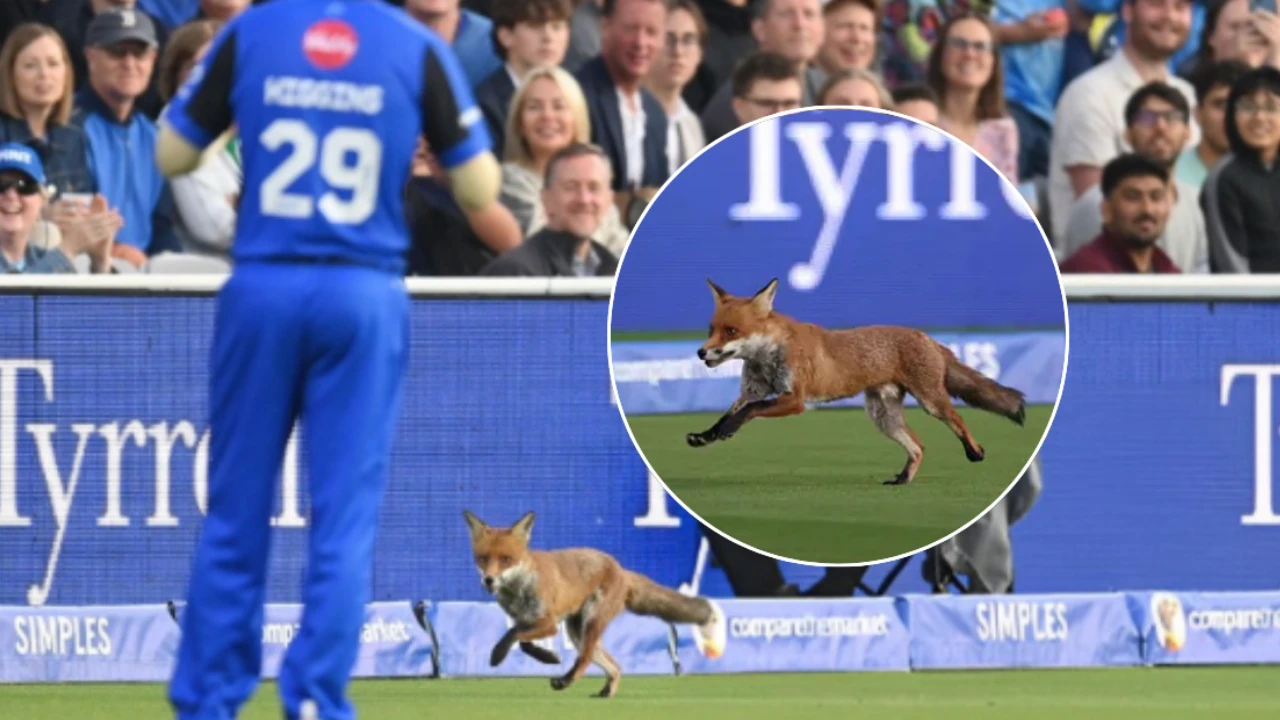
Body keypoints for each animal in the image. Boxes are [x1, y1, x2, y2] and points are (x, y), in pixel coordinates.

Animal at [463, 509, 727, 698]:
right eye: (483, 559)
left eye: (506, 559)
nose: (489, 580)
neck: (519, 590)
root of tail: (621, 569)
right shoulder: (528, 621)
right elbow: (523, 642)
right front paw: (548, 656)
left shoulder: (548, 623)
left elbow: (513, 635)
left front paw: (498, 655)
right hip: (576, 631)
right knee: (614, 666)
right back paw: (607, 691)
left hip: (590, 623)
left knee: (586, 658)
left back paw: (566, 680)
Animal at [688, 277, 1028, 485]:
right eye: (711, 329)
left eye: (731, 331)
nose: (701, 352)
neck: (767, 357)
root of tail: (926, 336)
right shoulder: (752, 390)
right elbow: (728, 415)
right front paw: (707, 436)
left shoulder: (793, 399)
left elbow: (750, 412)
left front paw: (728, 431)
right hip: (883, 417)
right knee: (918, 447)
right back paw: (903, 480)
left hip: (930, 402)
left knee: (957, 419)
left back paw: (975, 451)